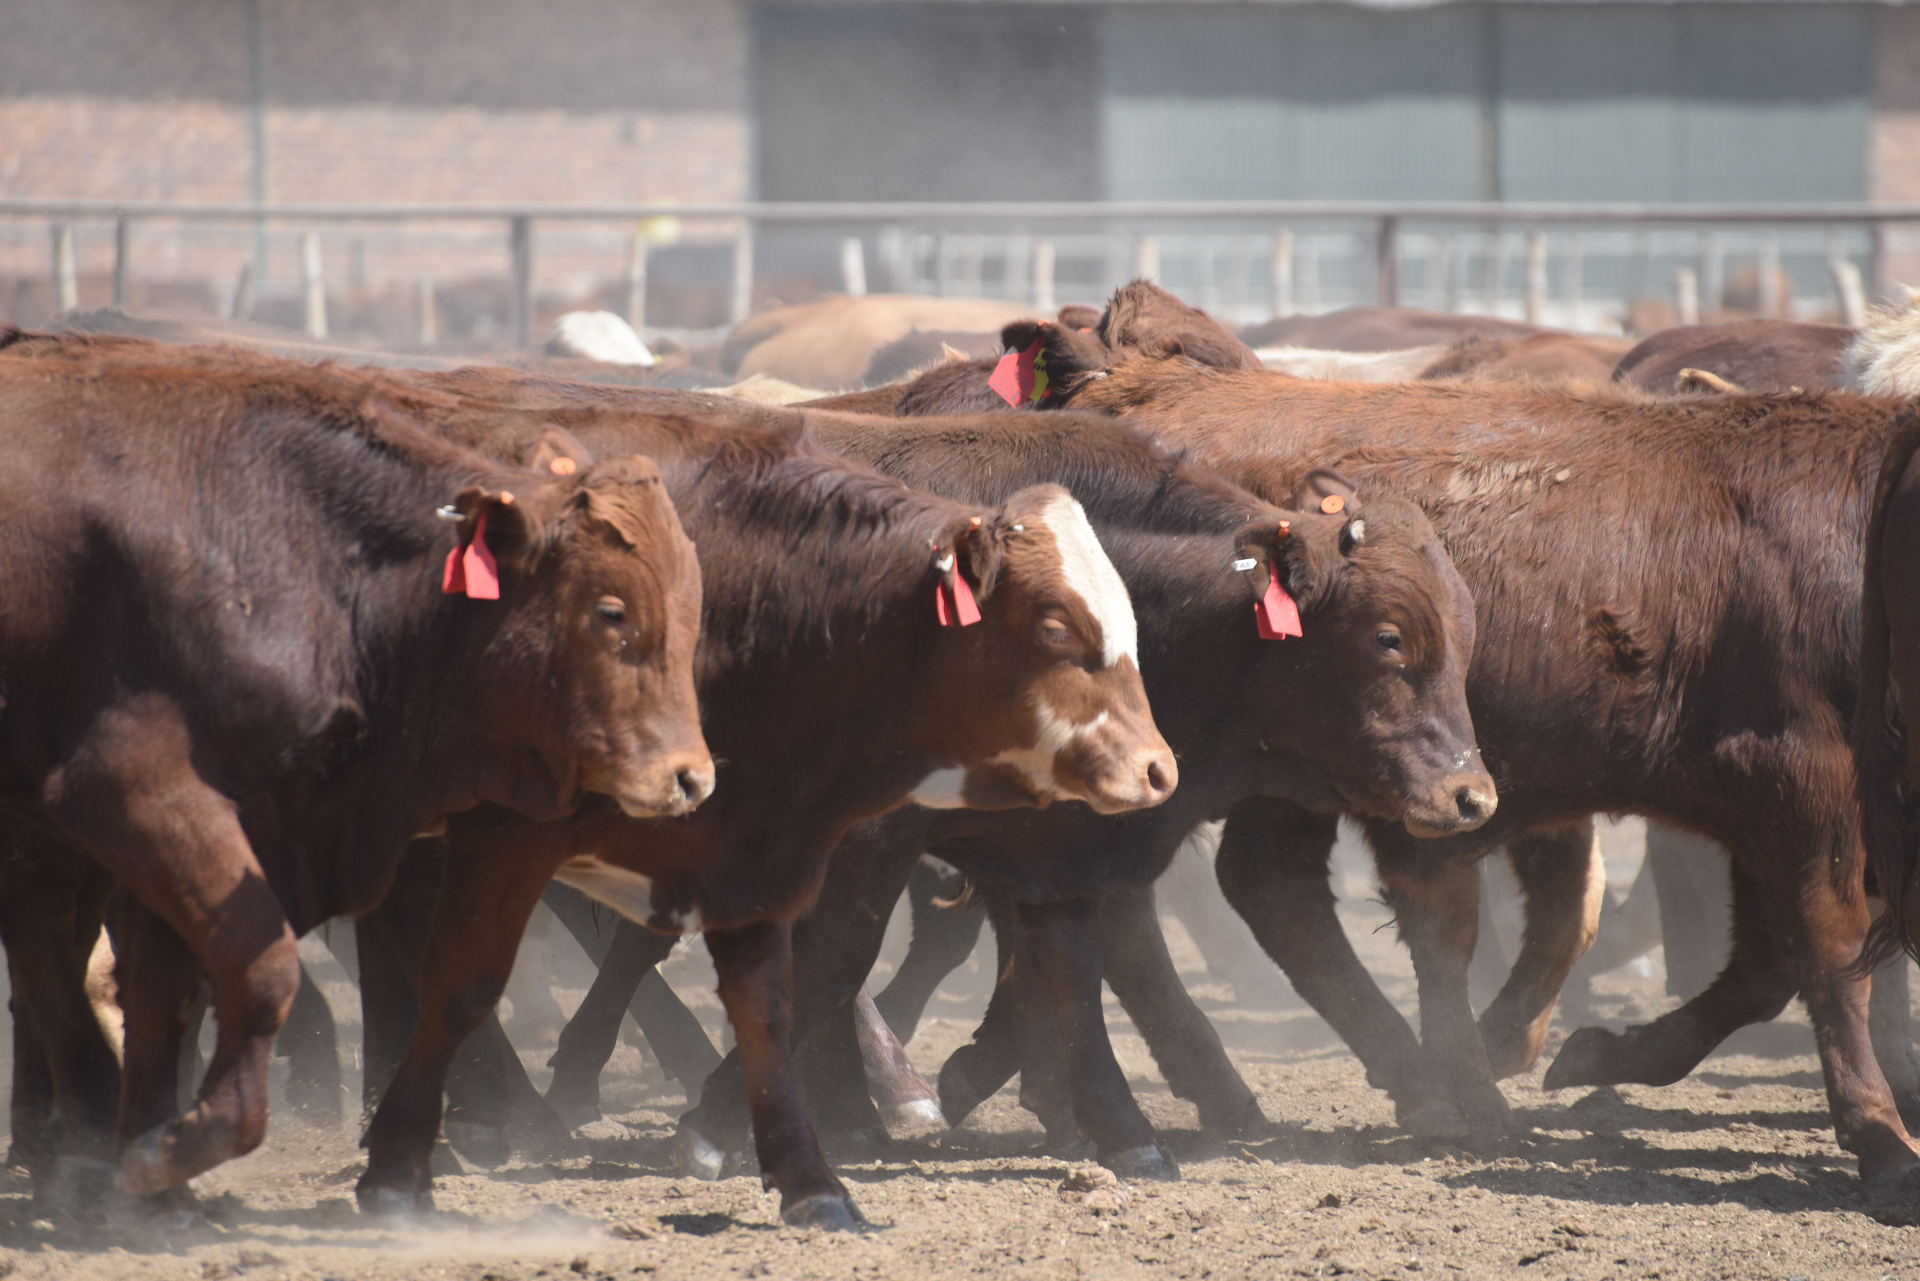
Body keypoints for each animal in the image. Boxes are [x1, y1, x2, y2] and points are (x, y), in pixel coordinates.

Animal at [0, 328, 713, 1201]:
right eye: (612, 611)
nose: (690, 777)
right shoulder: (135, 791)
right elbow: (255, 964)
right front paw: (171, 1149)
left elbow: (169, 975)